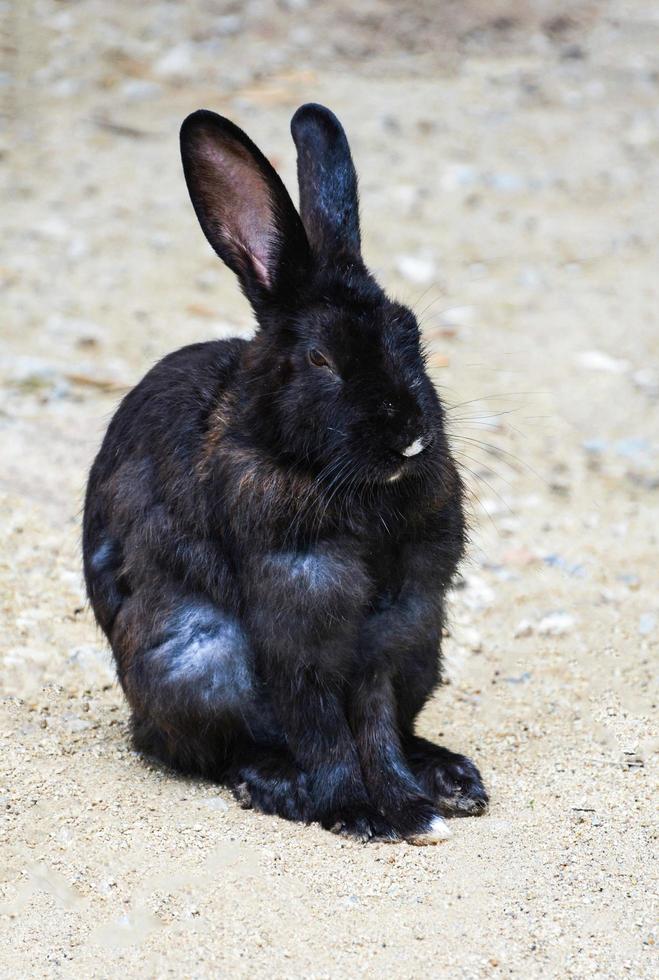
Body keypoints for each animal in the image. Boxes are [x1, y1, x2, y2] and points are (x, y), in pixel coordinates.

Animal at [82, 105, 488, 844]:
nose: (410, 437)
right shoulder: (299, 616)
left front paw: (408, 806)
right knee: (204, 748)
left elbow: (375, 725)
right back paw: (277, 783)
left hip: (426, 647)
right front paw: (359, 811)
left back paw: (450, 777)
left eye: (410, 335)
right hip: (196, 659)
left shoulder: (391, 631)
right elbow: (323, 728)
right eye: (322, 360)